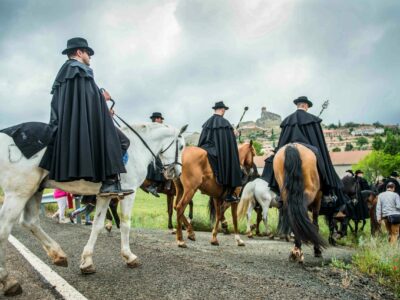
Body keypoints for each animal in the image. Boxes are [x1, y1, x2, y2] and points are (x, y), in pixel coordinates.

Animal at [0, 121, 188, 296]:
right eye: (182, 146)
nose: (177, 173)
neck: (137, 147)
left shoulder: (104, 195)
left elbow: (97, 226)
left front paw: (87, 262)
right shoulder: (129, 193)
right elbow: (125, 225)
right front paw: (129, 256)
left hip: (35, 189)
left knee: (30, 222)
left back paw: (58, 255)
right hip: (19, 192)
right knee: (5, 229)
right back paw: (8, 281)